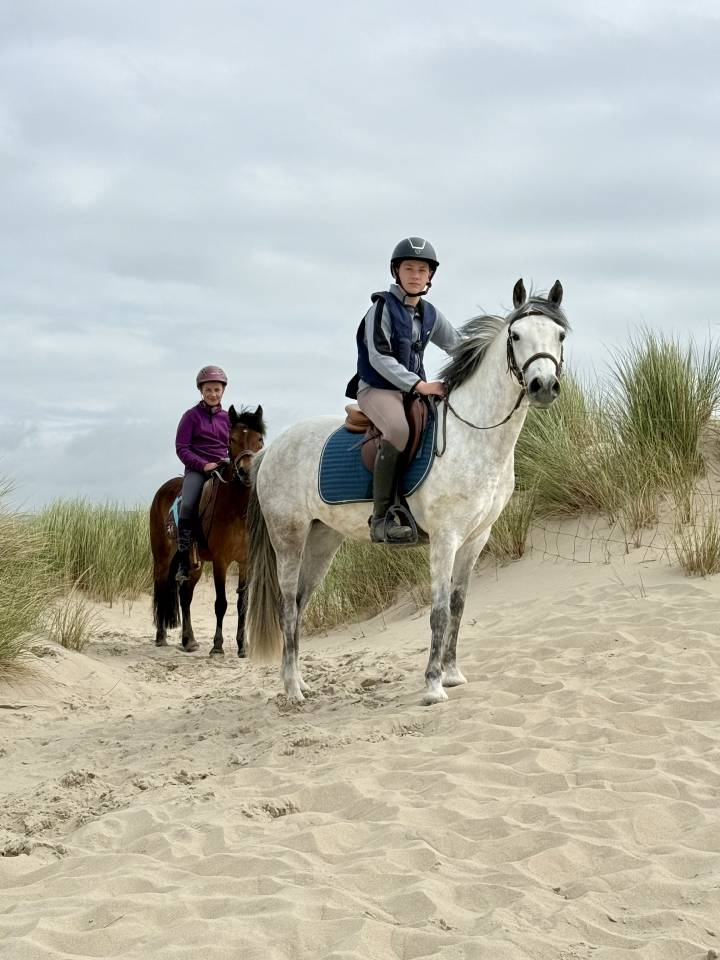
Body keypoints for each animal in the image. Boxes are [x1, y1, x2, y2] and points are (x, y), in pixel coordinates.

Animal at [149, 405, 266, 656]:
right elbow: (221, 603)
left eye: (259, 439)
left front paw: (242, 646)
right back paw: (161, 637)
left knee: (185, 596)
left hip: (194, 564)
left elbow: (242, 604)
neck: (236, 508)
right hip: (162, 559)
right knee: (162, 589)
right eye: (231, 439)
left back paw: (189, 640)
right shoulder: (221, 561)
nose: (246, 472)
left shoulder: (245, 562)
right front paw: (218, 646)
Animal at [245, 280, 568, 704]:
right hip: (289, 538)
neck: (475, 434)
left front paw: (452, 674)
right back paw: (291, 691)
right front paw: (433, 686)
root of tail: (271, 449)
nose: (543, 386)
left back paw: (300, 683)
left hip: (322, 540)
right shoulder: (446, 538)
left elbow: (459, 606)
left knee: (299, 605)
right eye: (516, 336)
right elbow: (439, 611)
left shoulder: (476, 538)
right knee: (286, 607)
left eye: (560, 335)